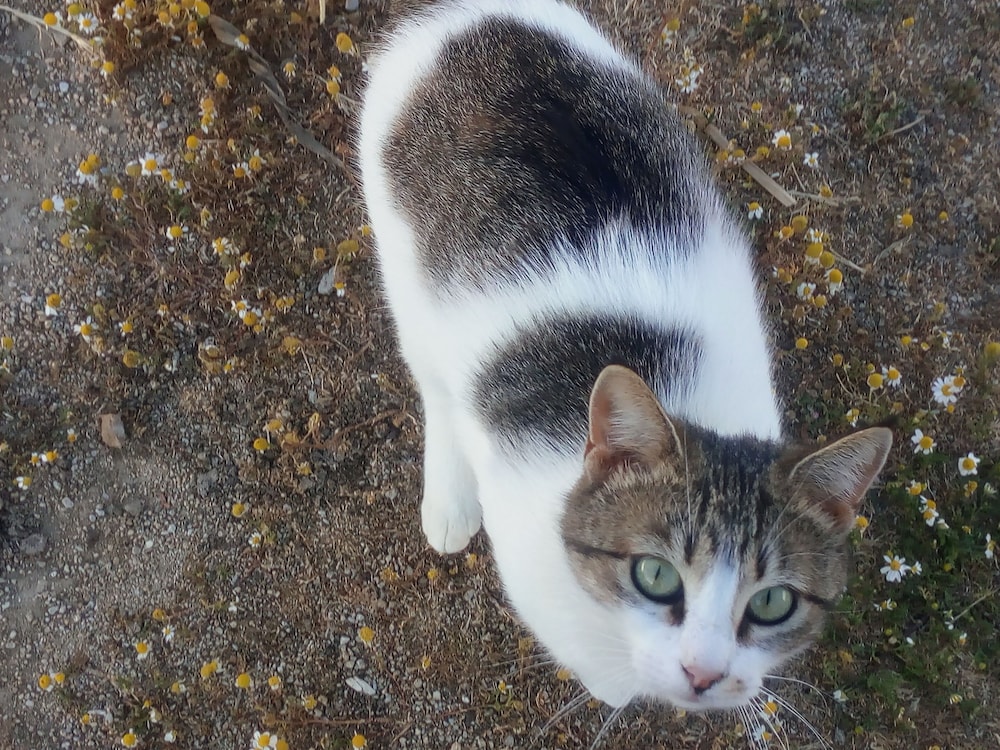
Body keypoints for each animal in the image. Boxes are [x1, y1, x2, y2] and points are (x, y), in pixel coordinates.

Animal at [358, 0, 892, 712]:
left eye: (772, 603)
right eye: (656, 577)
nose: (704, 674)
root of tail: (463, 25)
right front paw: (612, 686)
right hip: (403, 267)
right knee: (436, 383)